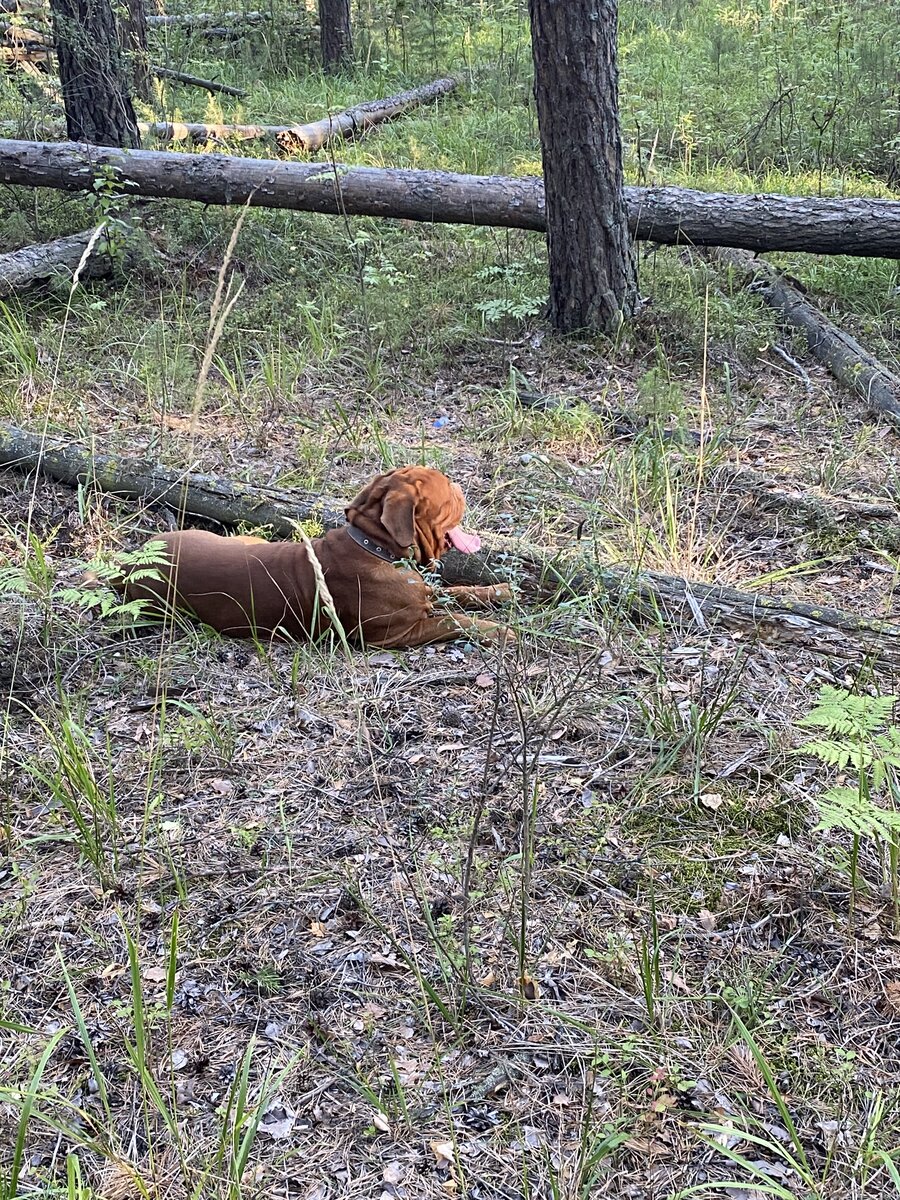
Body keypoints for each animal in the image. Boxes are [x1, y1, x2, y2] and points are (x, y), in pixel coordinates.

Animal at [121, 463, 513, 648]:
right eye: (448, 492)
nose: (461, 486)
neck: (376, 546)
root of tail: (129, 563)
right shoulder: (399, 633)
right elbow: (454, 620)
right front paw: (502, 630)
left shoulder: (426, 594)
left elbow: (457, 591)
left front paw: (499, 591)